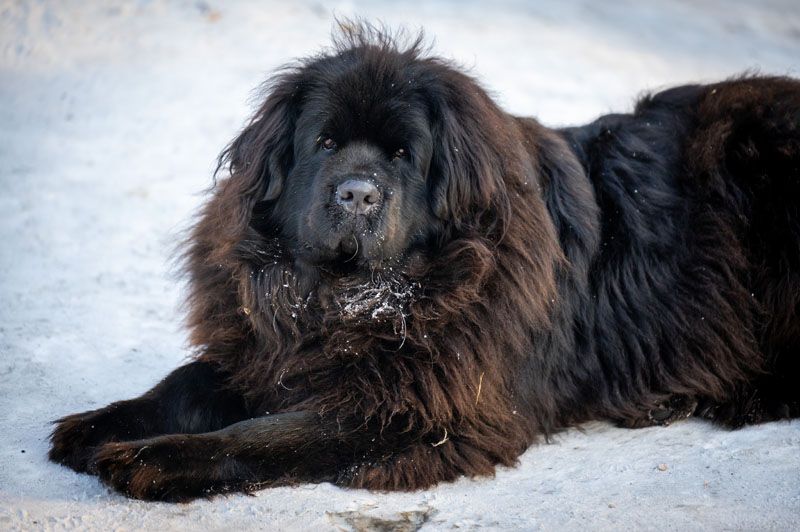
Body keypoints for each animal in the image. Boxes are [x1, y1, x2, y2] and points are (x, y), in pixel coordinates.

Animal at [49, 25, 800, 501]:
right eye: (325, 143)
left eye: (404, 154)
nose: (357, 193)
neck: (346, 300)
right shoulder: (270, 351)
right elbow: (188, 383)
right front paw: (100, 425)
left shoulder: (413, 407)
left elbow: (269, 433)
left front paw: (149, 461)